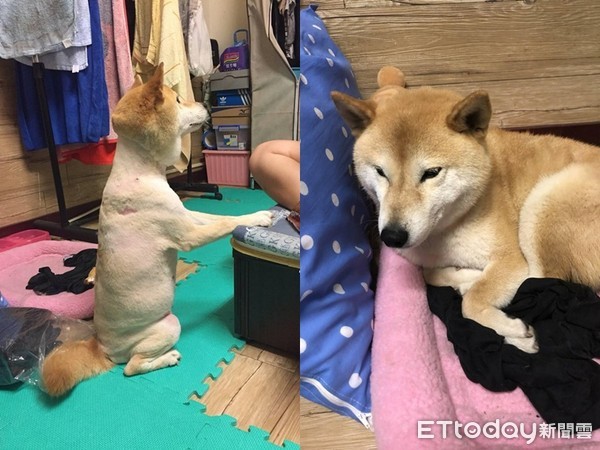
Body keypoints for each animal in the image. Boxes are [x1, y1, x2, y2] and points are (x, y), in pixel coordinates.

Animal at [42, 64, 274, 398]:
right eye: (178, 100)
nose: (205, 104)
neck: (142, 168)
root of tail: (100, 347)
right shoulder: (187, 235)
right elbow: (222, 223)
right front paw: (259, 217)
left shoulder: (186, 215)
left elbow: (212, 216)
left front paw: (250, 213)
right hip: (168, 325)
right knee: (131, 368)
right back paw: (167, 358)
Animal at [330, 67, 600, 356]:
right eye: (380, 171)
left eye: (431, 173)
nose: (392, 236)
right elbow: (429, 273)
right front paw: (465, 276)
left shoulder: (511, 258)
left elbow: (471, 303)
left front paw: (514, 329)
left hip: (545, 200)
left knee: (544, 278)